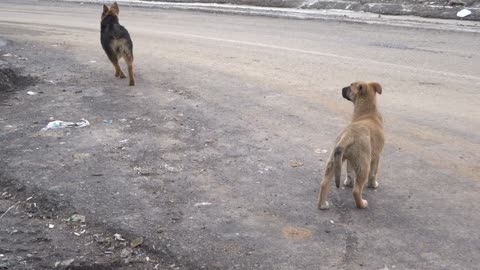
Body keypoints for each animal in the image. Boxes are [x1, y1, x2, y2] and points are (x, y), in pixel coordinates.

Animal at [316, 81, 384, 210]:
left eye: (350, 87)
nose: (342, 88)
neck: (367, 113)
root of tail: (348, 135)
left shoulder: (350, 160)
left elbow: (349, 172)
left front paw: (348, 182)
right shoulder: (377, 156)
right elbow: (374, 173)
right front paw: (373, 184)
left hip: (334, 160)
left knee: (324, 182)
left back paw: (322, 204)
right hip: (364, 165)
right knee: (356, 190)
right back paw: (362, 204)